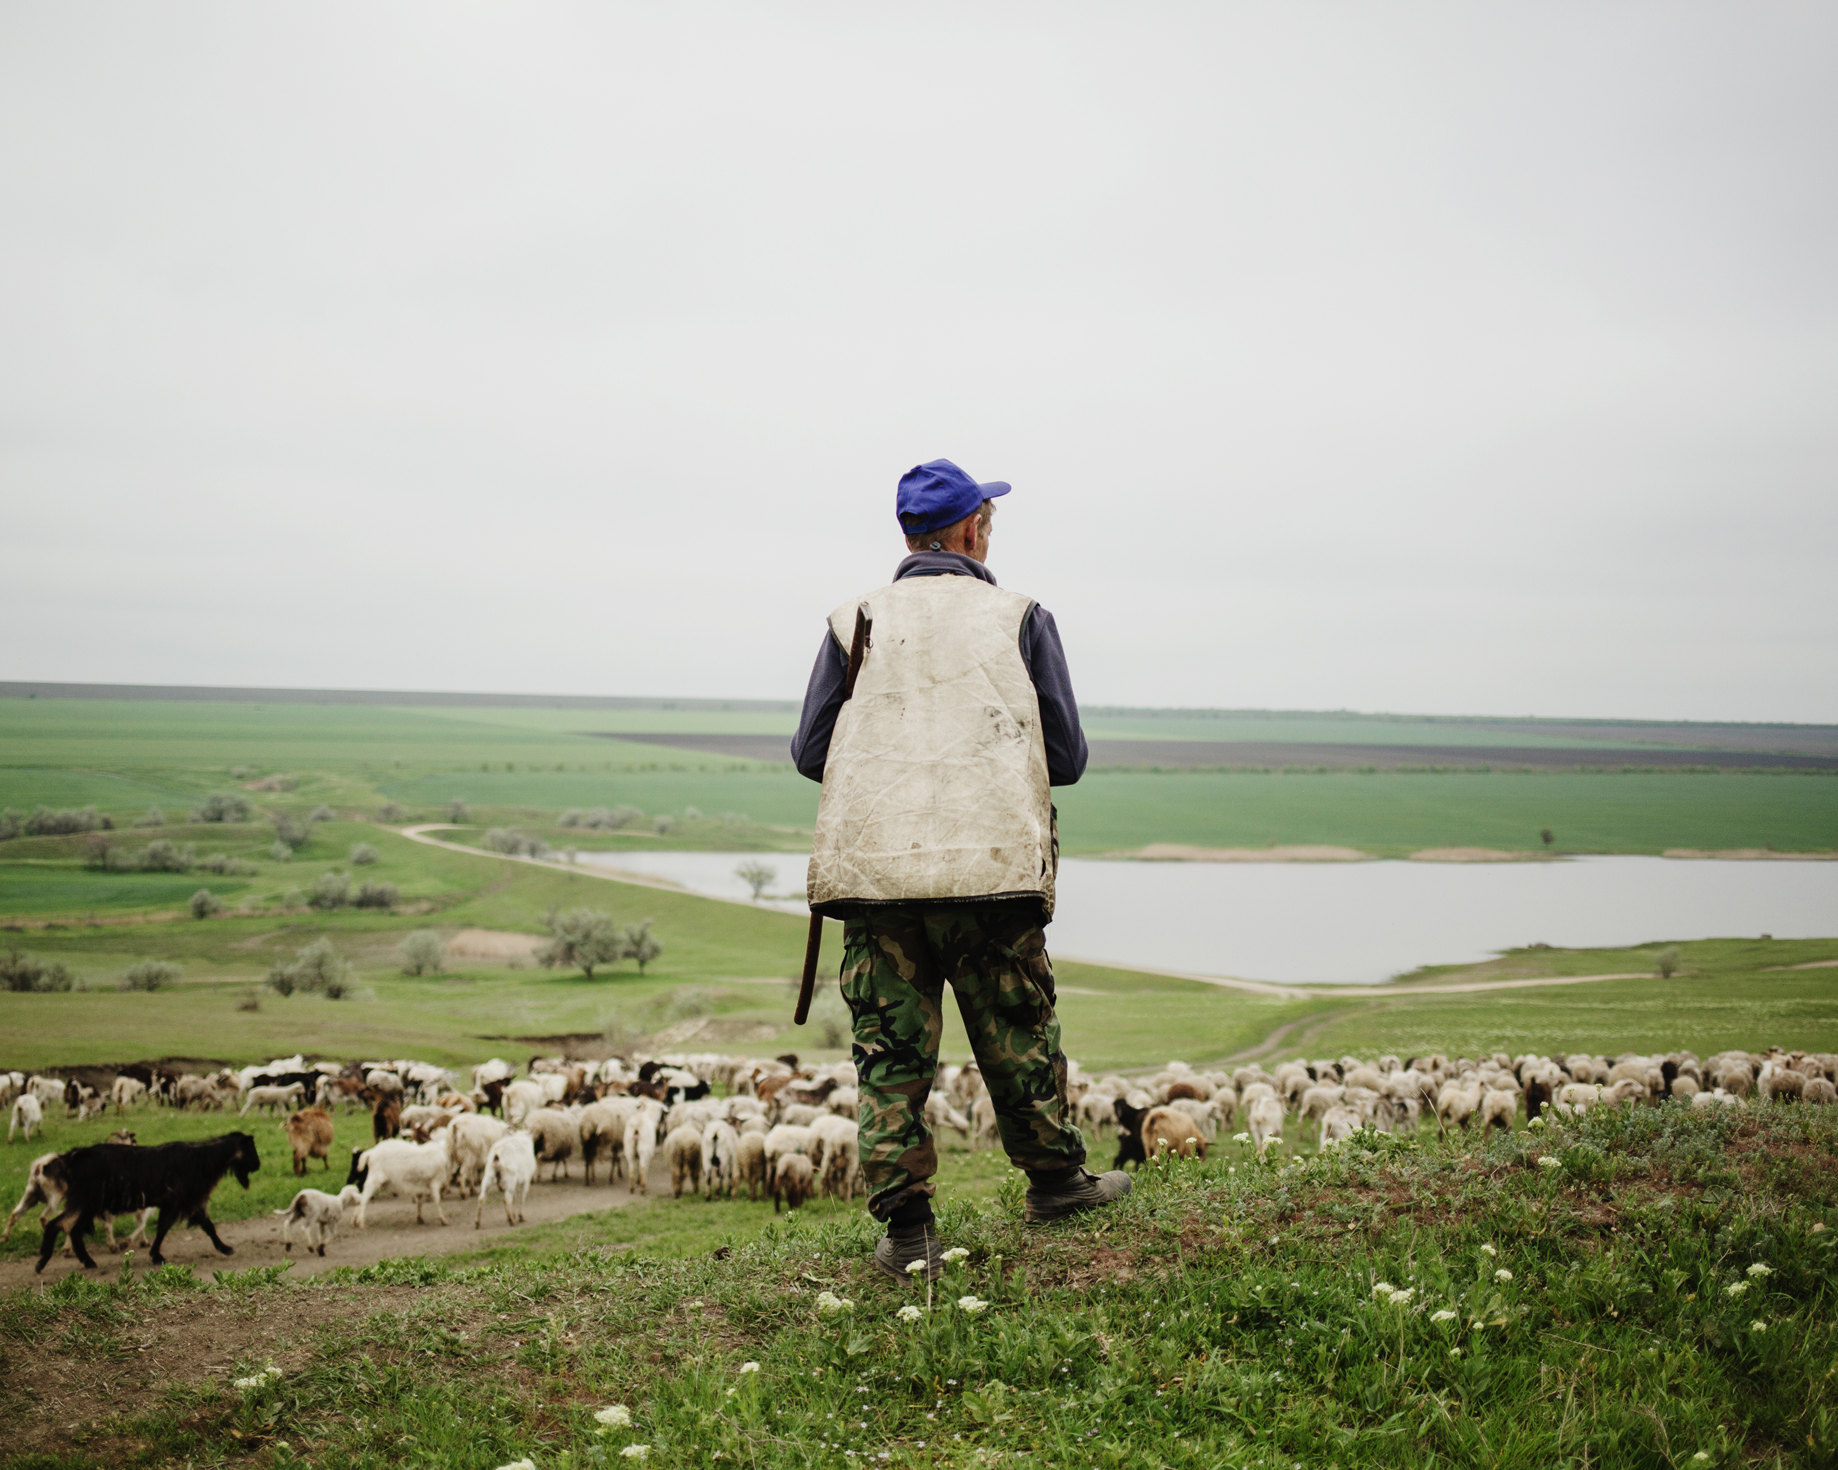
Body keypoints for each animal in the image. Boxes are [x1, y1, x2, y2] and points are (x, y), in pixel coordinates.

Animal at [34, 1131, 262, 1271]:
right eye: (251, 1149)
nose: (258, 1165)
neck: (204, 1159)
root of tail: (72, 1157)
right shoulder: (179, 1201)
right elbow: (165, 1228)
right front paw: (157, 1256)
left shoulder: (186, 1203)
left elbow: (207, 1226)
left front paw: (225, 1248)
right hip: (87, 1201)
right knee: (64, 1225)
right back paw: (49, 1261)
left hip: (84, 1202)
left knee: (66, 1227)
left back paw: (74, 1261)